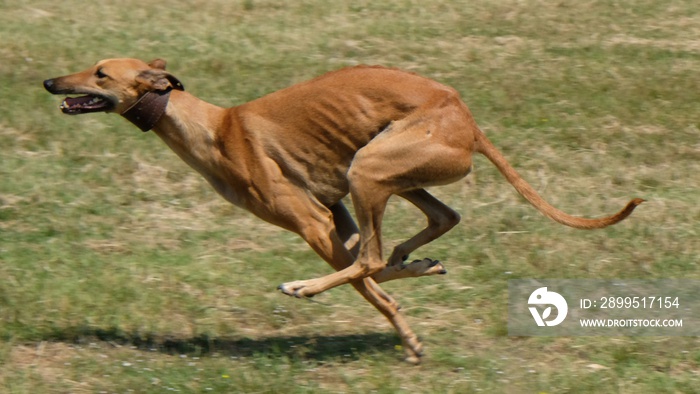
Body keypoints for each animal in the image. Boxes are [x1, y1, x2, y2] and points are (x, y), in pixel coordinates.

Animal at [45, 57, 644, 362]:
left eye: (100, 74)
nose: (50, 80)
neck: (216, 128)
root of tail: (468, 120)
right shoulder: (337, 214)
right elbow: (371, 265)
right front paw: (418, 277)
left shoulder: (313, 224)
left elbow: (368, 282)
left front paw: (409, 338)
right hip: (385, 175)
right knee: (433, 223)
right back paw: (416, 259)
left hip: (370, 169)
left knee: (374, 259)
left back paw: (304, 287)